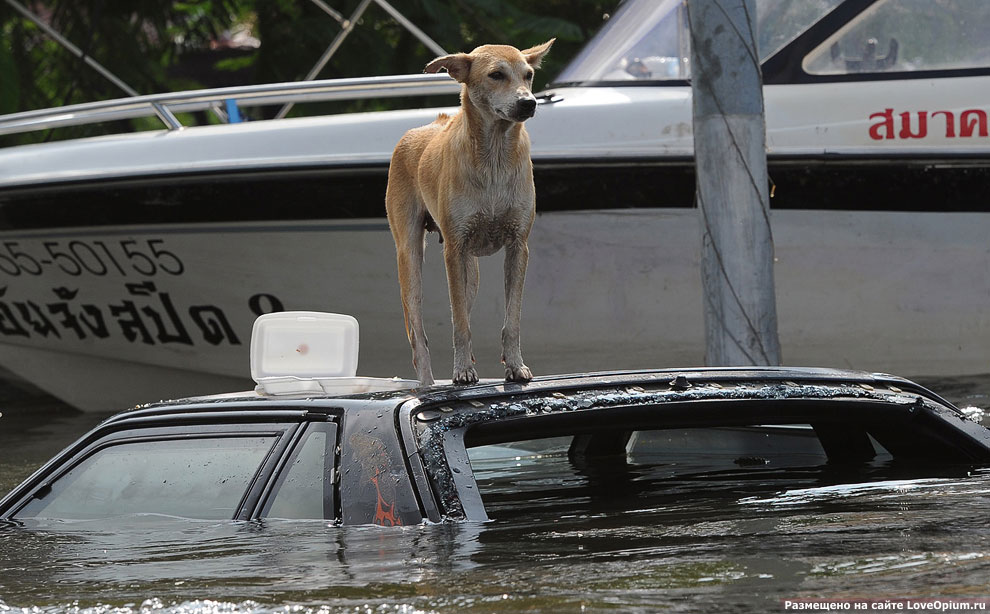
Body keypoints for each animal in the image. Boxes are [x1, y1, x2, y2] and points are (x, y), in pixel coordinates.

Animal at [388, 39, 560, 384]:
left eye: (529, 74)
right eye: (496, 75)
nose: (529, 103)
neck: (495, 157)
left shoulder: (518, 247)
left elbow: (511, 318)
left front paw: (515, 365)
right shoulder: (454, 250)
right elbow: (459, 323)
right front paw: (462, 370)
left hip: (472, 271)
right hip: (410, 257)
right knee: (418, 334)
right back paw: (427, 383)